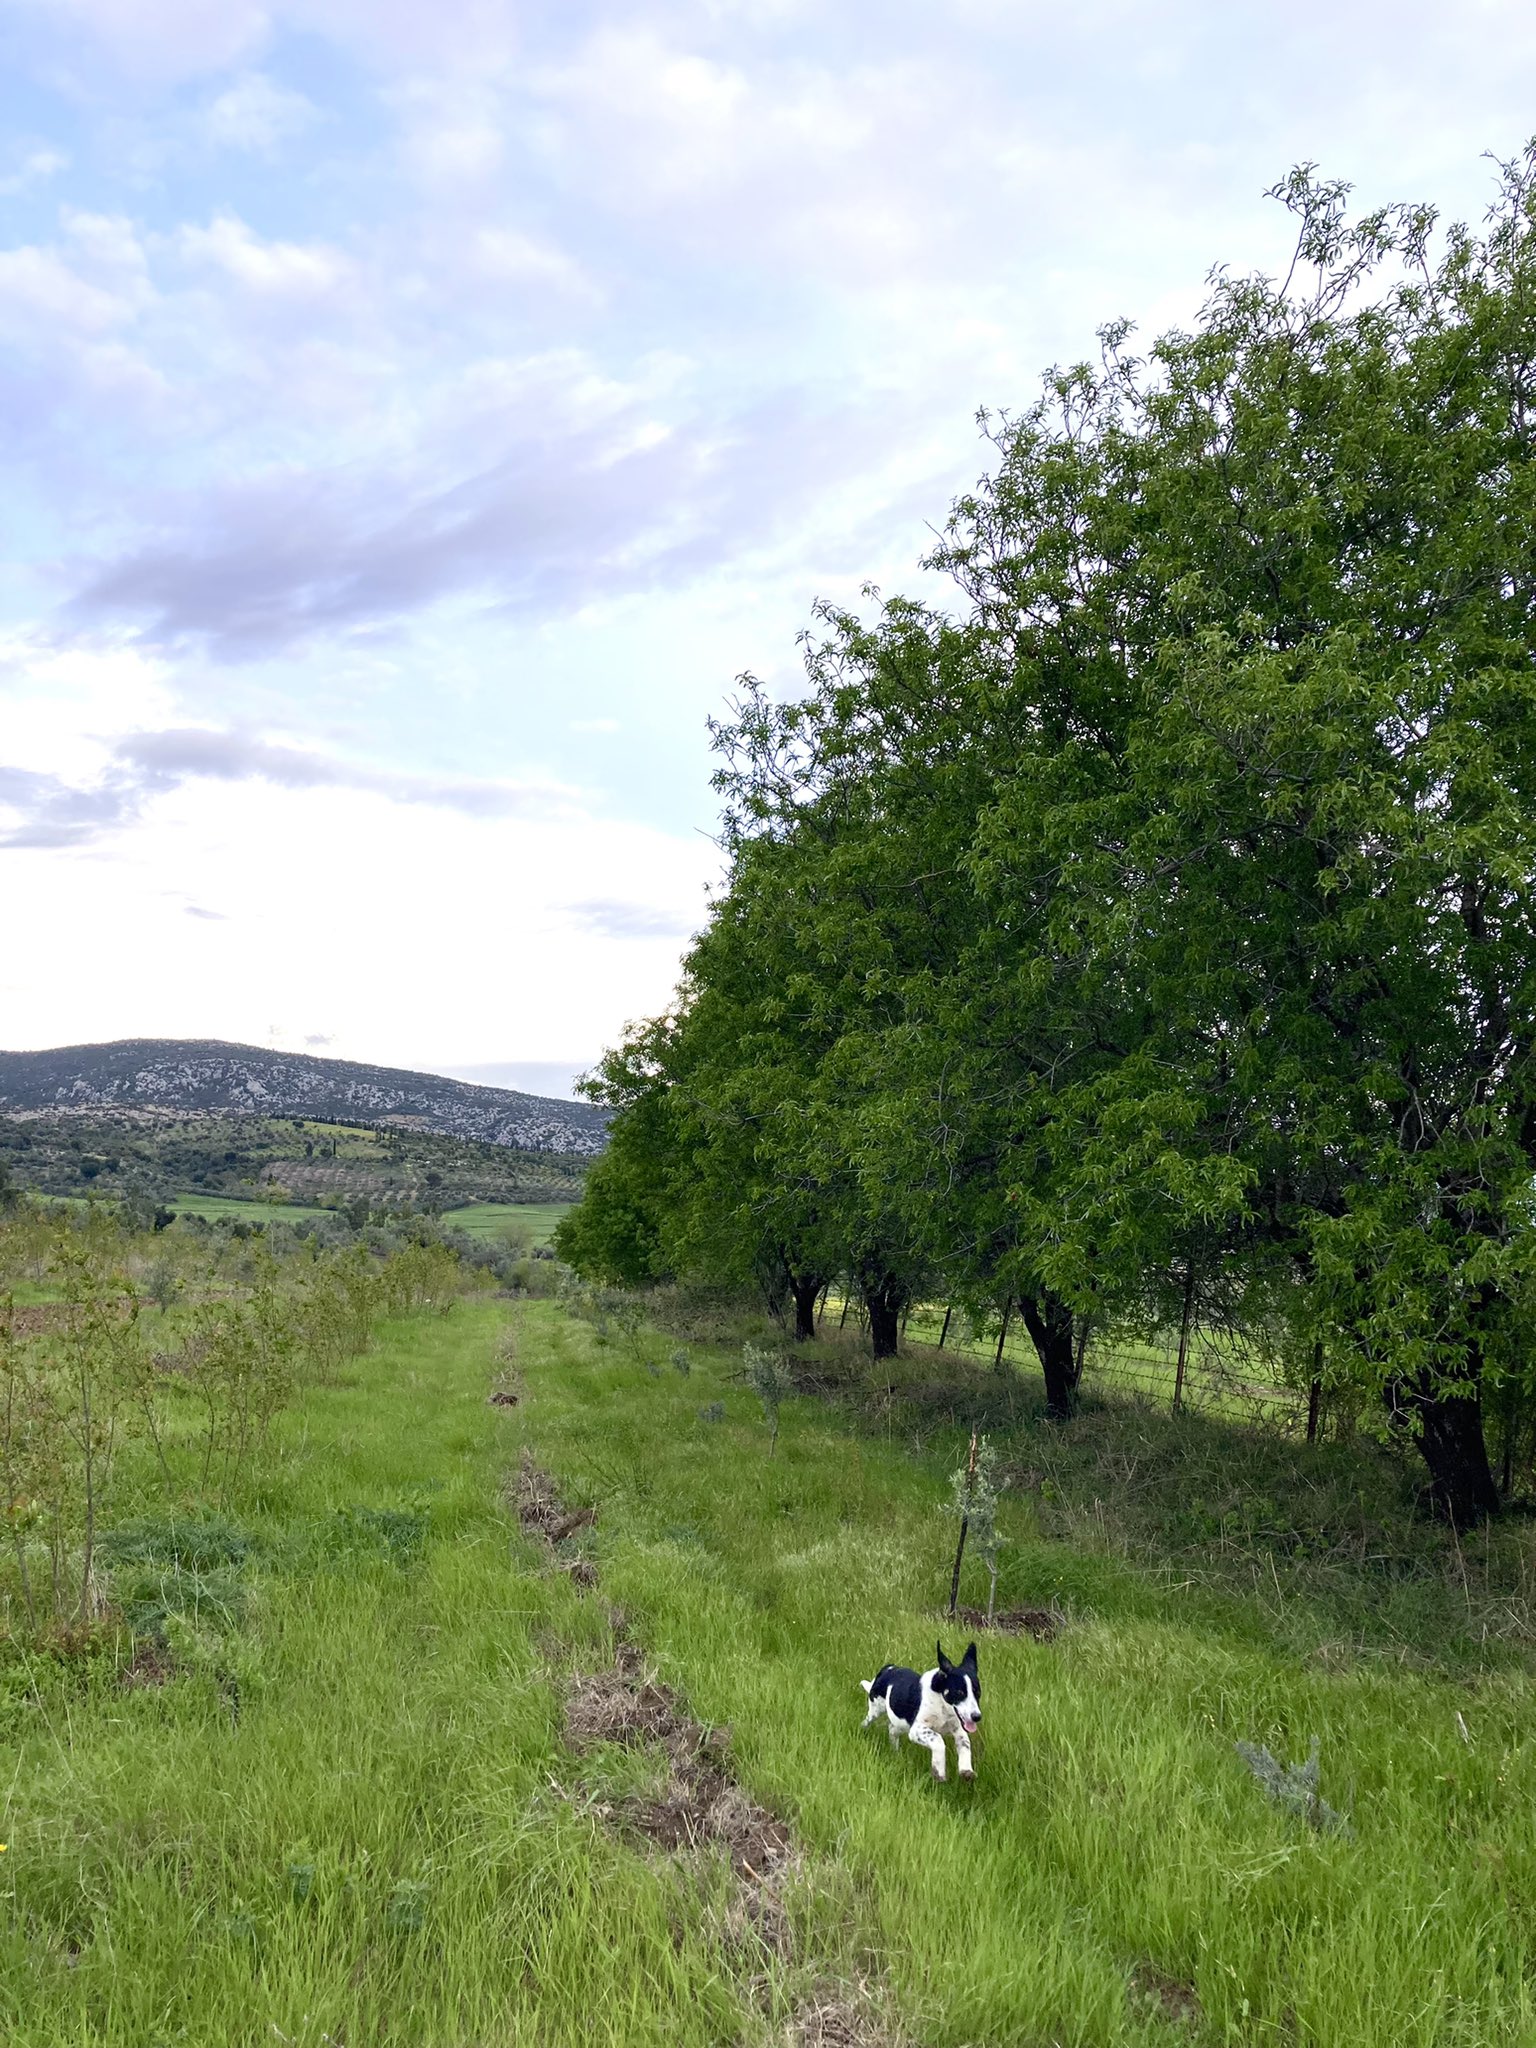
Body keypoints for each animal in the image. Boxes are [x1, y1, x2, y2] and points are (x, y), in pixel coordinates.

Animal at [860, 1646, 978, 1777]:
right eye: (959, 1693)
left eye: (978, 1692)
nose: (977, 1716)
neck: (941, 1704)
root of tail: (887, 1669)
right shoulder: (916, 1729)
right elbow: (937, 1739)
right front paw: (939, 1769)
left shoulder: (959, 1730)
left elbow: (965, 1745)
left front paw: (966, 1770)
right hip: (876, 1710)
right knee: (866, 1721)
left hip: (902, 1724)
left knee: (892, 1729)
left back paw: (895, 1751)